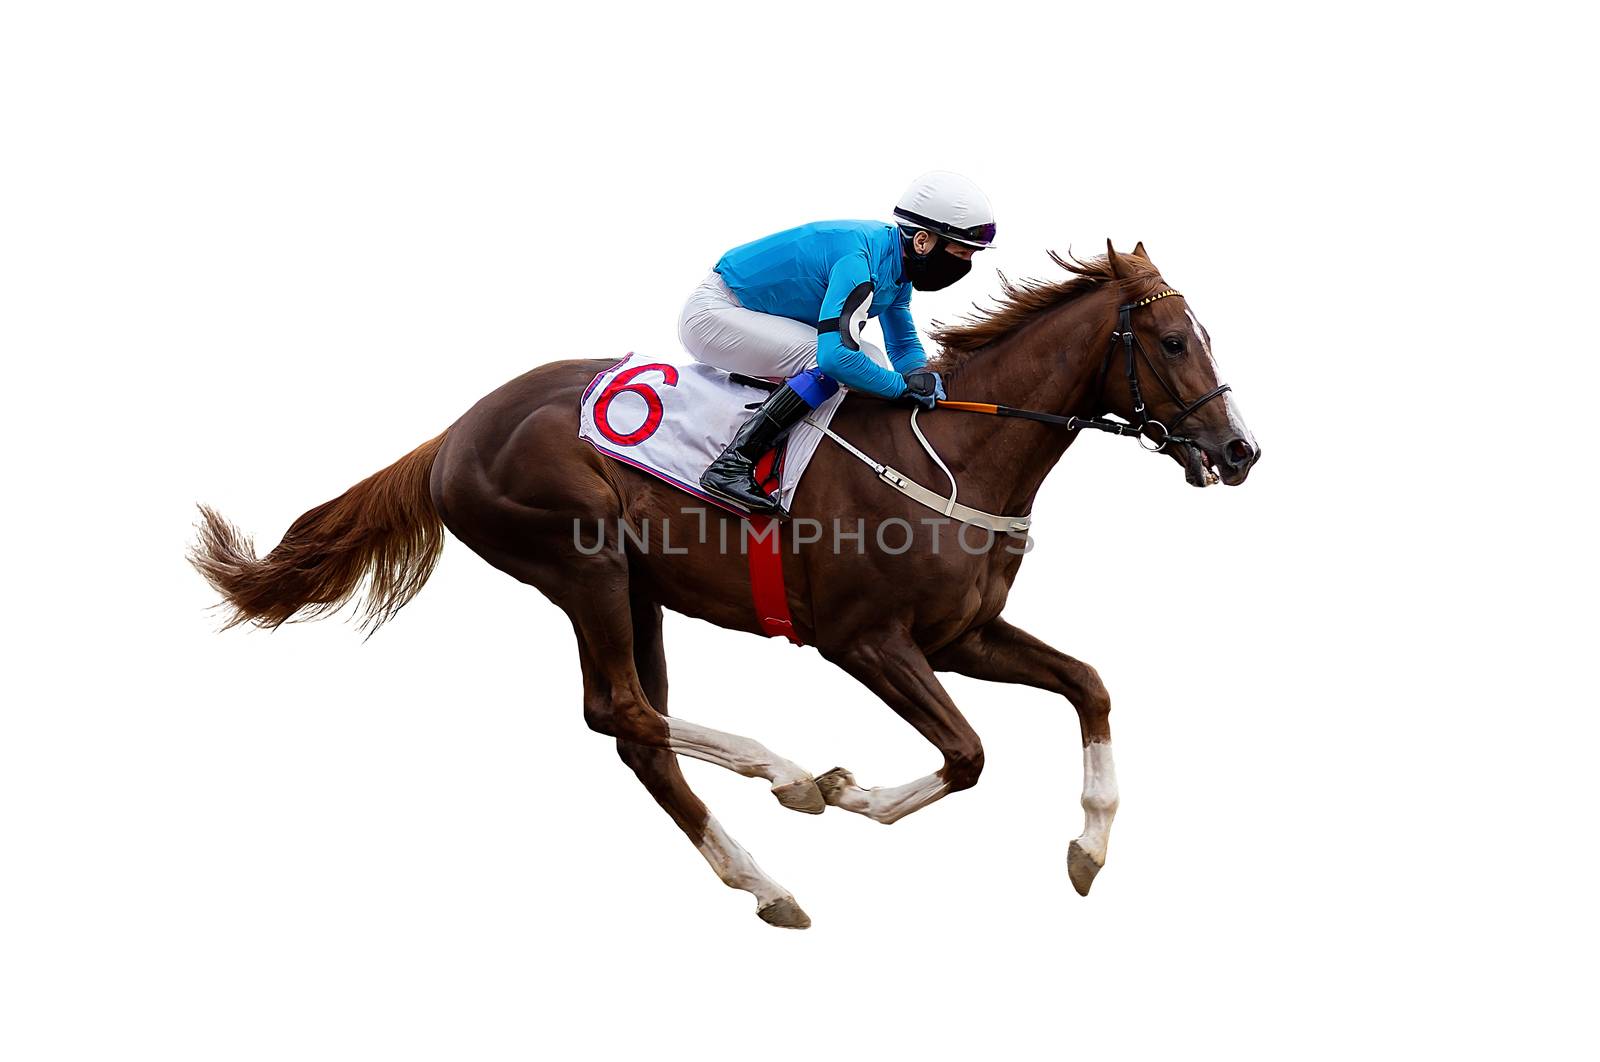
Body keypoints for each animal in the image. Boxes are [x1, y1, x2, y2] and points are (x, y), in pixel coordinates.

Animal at [190, 239, 1260, 927]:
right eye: (1173, 342)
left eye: (1206, 334)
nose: (1241, 451)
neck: (957, 447)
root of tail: (455, 432)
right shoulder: (865, 639)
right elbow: (967, 754)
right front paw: (847, 791)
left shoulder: (961, 635)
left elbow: (1089, 684)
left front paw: (1091, 848)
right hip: (580, 560)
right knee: (620, 711)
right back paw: (784, 776)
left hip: (637, 587)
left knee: (637, 733)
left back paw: (765, 882)